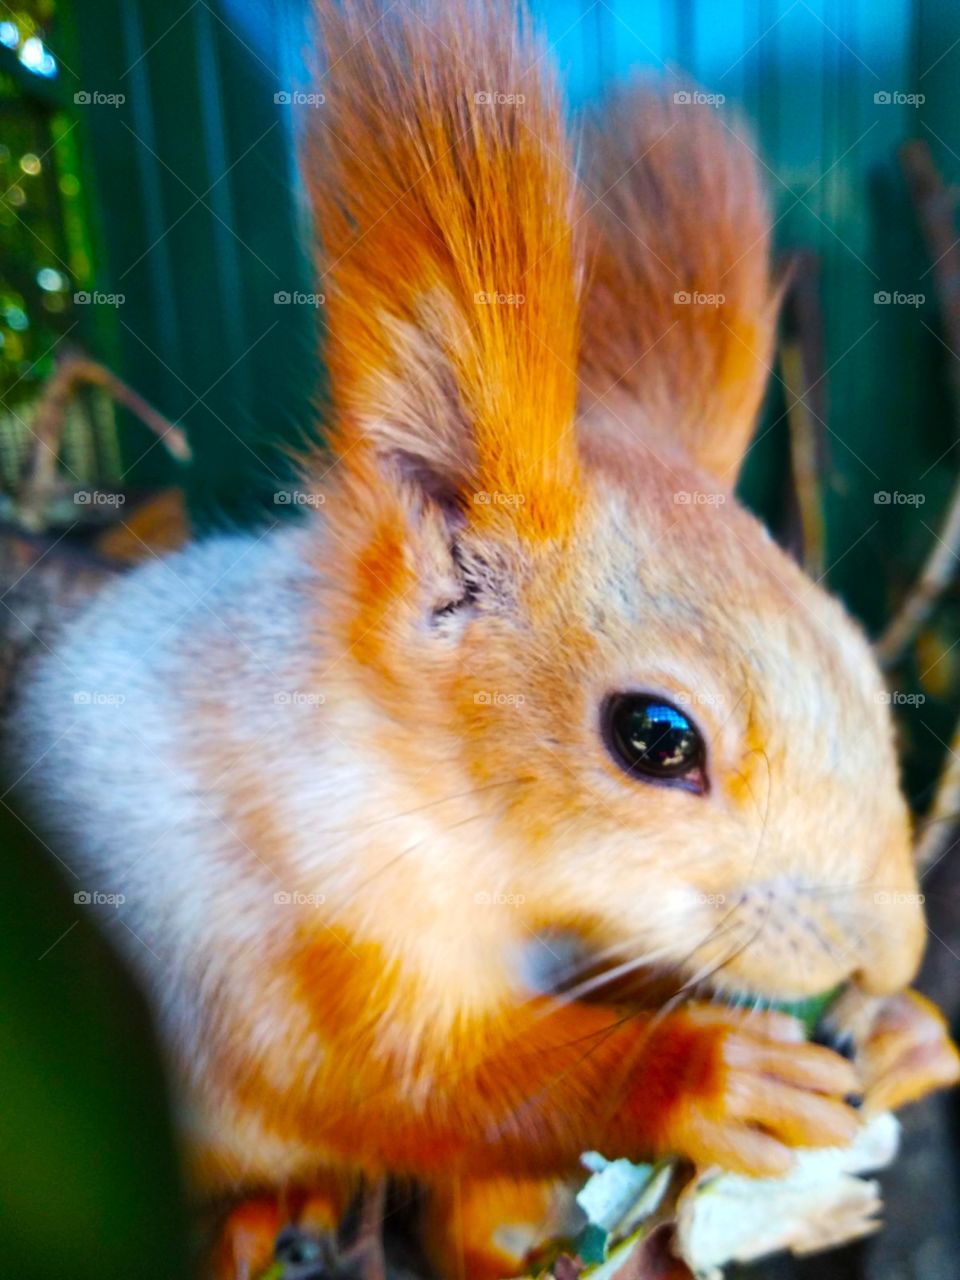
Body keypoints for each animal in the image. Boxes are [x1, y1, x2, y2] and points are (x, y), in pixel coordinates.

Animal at [3, 0, 957, 1274]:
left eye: (862, 655)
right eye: (655, 737)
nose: (892, 953)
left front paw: (906, 1031)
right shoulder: (270, 930)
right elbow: (400, 1079)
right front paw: (702, 1070)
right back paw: (266, 1217)